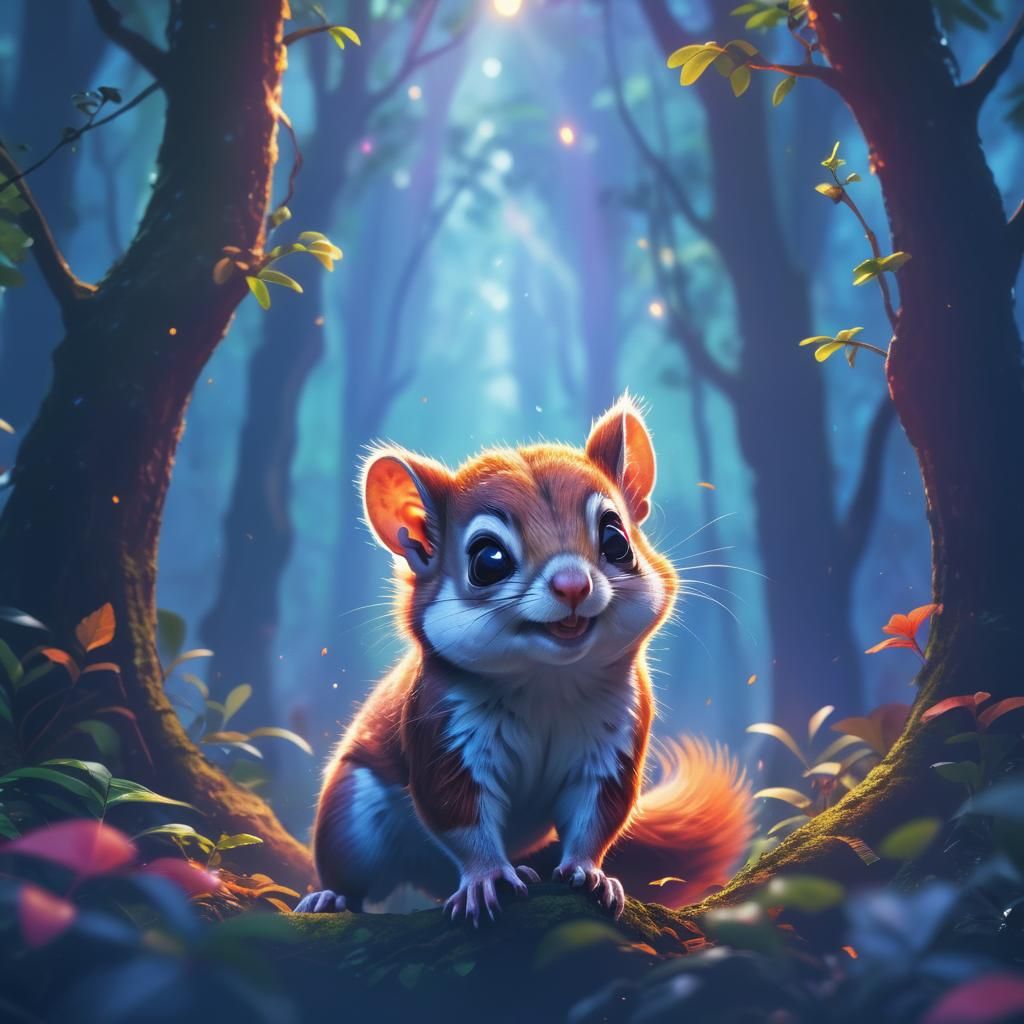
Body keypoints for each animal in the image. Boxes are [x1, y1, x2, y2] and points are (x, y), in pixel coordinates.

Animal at [296, 395, 753, 922]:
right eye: (487, 560)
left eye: (617, 540)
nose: (573, 585)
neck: (549, 680)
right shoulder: (443, 730)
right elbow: (459, 816)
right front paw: (487, 878)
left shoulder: (615, 740)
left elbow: (596, 816)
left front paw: (590, 873)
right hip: (351, 815)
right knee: (350, 872)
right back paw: (328, 897)